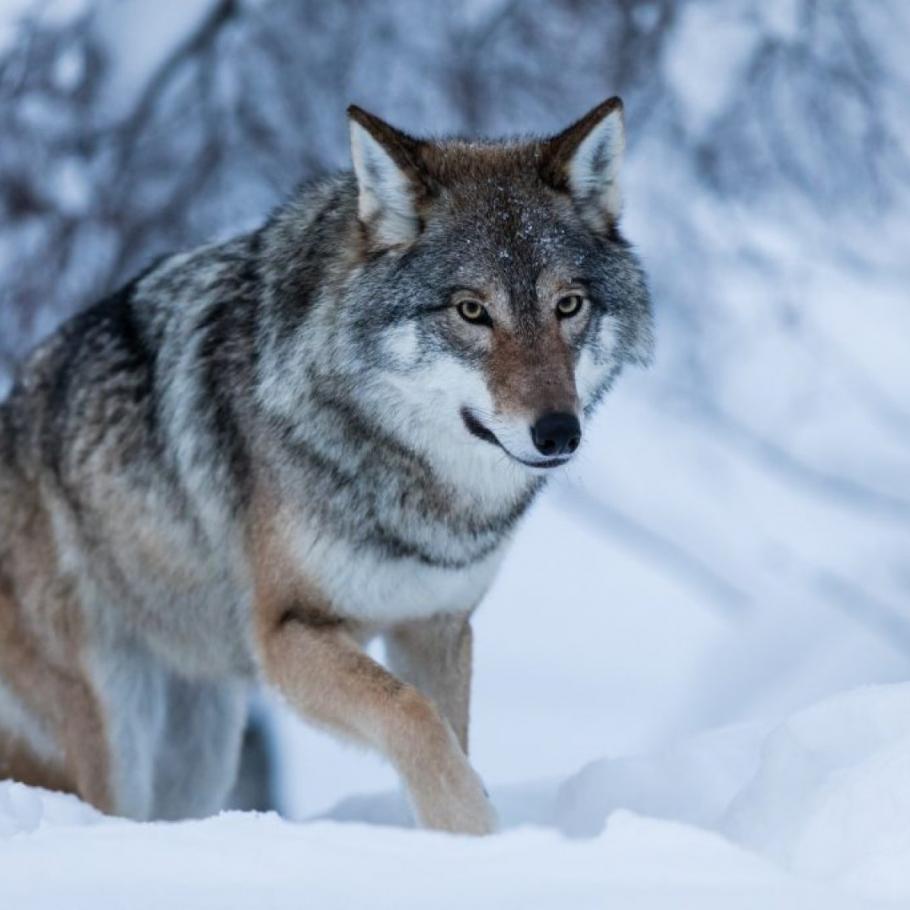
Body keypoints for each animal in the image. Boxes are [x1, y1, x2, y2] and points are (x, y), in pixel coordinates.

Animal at [0, 98, 656, 832]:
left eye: (568, 305)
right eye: (472, 311)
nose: (558, 432)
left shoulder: (437, 627)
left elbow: (446, 733)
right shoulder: (289, 634)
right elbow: (414, 717)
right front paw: (477, 832)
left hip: (200, 749)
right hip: (120, 732)